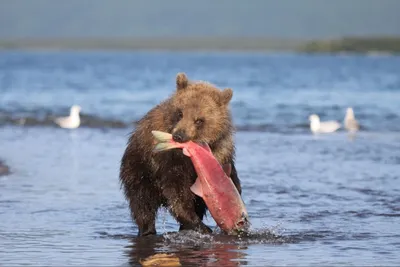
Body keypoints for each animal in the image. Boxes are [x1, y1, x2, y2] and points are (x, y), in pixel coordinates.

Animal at [119, 73, 242, 237]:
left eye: (199, 120)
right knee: (142, 202)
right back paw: (147, 230)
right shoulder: (169, 159)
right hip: (139, 168)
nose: (178, 136)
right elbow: (177, 191)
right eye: (180, 113)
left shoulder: (221, 152)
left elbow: (229, 177)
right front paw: (199, 225)